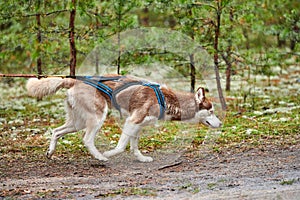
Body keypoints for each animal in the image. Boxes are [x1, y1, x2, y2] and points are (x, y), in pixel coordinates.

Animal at [26, 75, 223, 162]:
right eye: (211, 111)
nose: (221, 123)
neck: (167, 100)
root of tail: (74, 80)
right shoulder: (132, 121)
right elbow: (121, 146)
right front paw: (109, 153)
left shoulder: (138, 126)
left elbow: (134, 146)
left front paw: (141, 158)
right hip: (98, 117)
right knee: (87, 139)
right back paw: (100, 157)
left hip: (78, 122)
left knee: (56, 131)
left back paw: (50, 152)